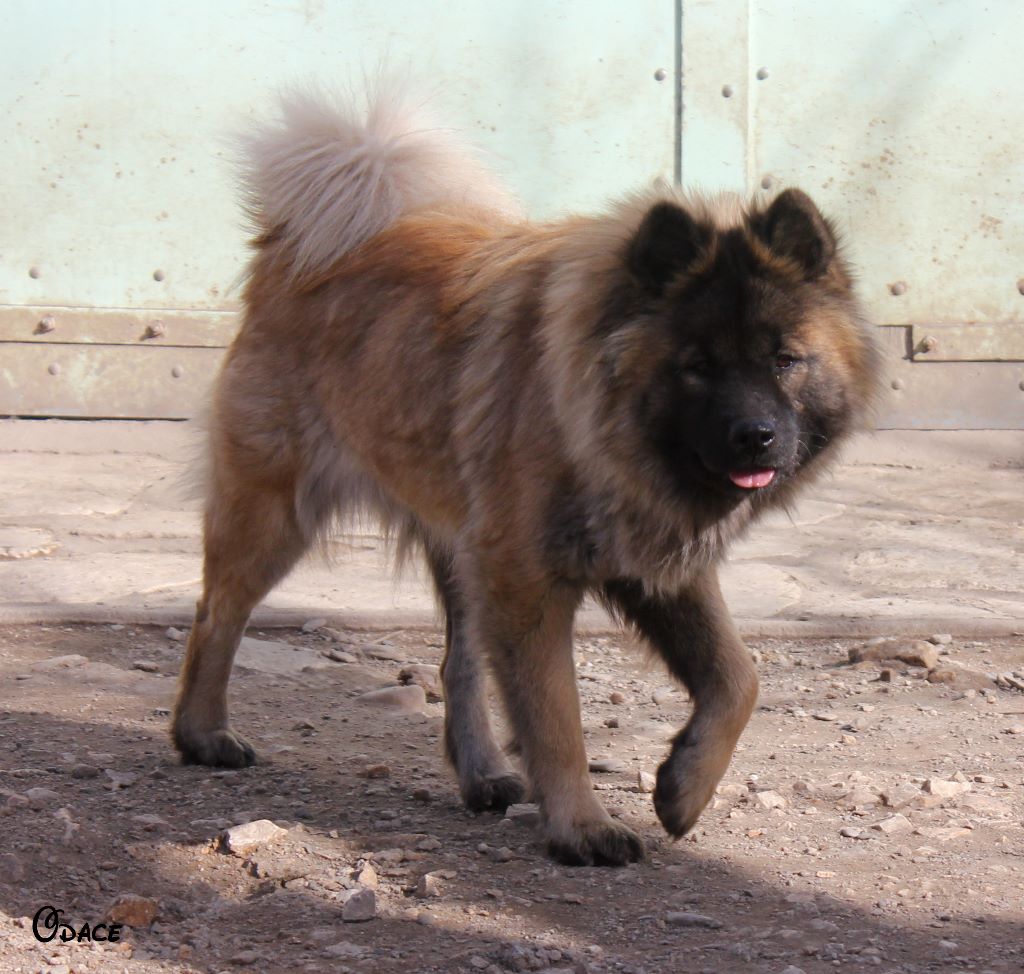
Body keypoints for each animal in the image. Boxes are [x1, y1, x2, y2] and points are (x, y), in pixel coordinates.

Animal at [169, 79, 880, 864]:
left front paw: (683, 786)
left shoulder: (651, 562)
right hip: (275, 513)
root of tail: (292, 245)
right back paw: (201, 733)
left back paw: (481, 774)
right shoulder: (529, 579)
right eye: (696, 367)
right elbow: (557, 717)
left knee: (457, 666)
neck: (594, 418)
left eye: (785, 360)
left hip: (458, 550)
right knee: (217, 613)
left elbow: (737, 677)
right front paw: (583, 826)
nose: (755, 438)